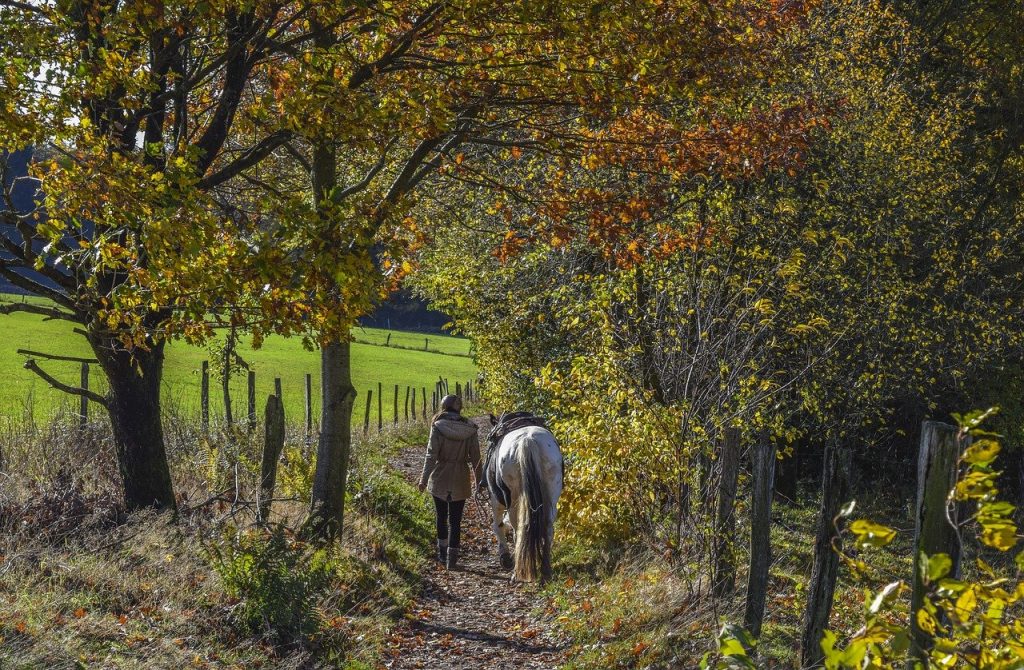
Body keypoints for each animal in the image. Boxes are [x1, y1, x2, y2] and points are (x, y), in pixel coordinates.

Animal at [483, 420, 565, 581]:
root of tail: (528, 441)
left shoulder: (496, 499)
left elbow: (498, 525)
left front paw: (505, 559)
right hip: (552, 495)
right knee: (548, 528)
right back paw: (546, 571)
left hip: (512, 500)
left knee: (518, 530)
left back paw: (517, 572)